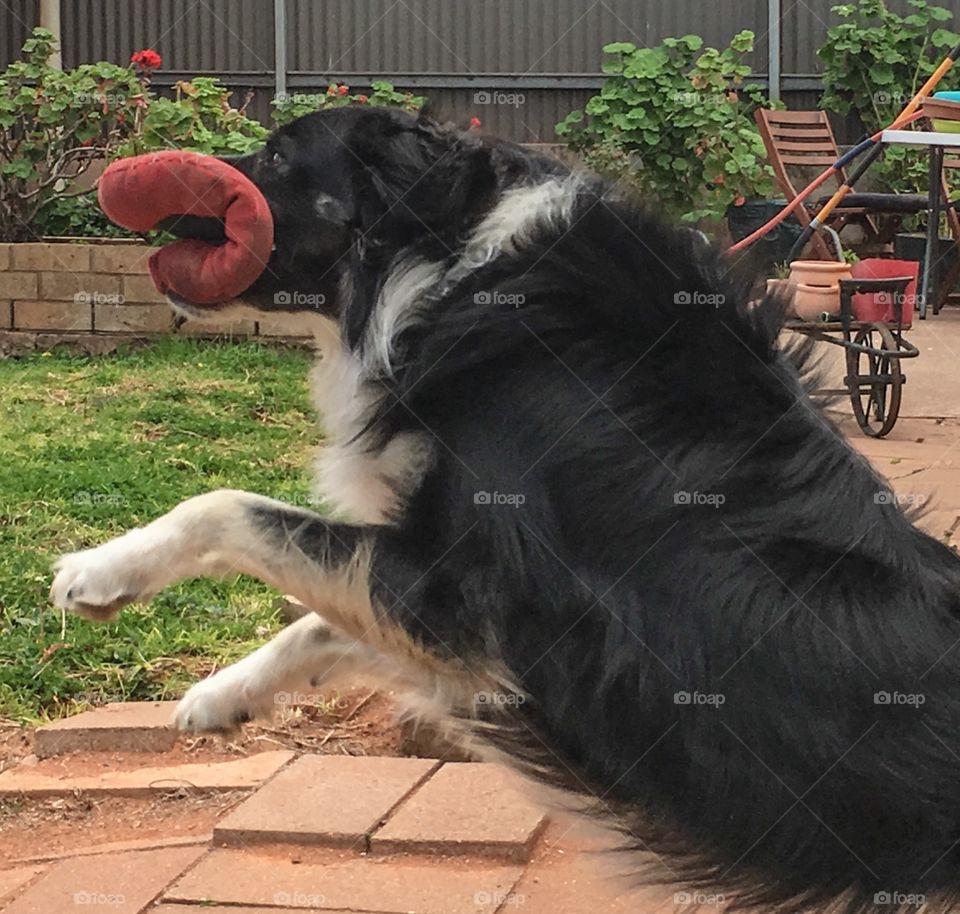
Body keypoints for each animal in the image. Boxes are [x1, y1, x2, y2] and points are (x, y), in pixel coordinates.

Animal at [48, 108, 960, 912]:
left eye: (277, 155)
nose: (131, 179)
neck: (455, 265)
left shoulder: (462, 598)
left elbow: (227, 508)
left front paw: (98, 571)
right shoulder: (464, 630)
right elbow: (317, 622)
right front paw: (222, 696)